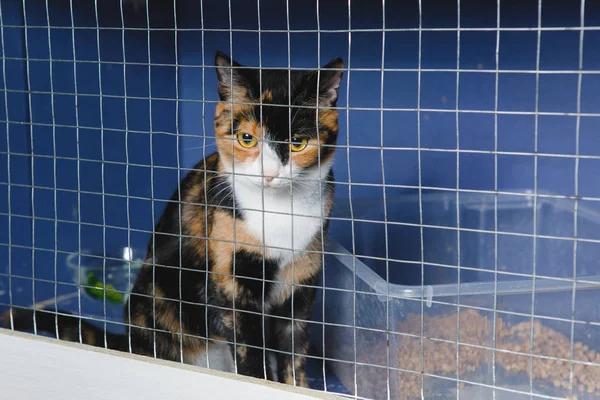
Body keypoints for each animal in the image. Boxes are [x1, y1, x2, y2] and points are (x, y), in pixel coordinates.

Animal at [2, 50, 344, 388]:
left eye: (298, 143)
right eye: (246, 138)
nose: (270, 174)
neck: (280, 211)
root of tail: (129, 340)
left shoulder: (301, 281)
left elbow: (294, 352)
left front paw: (296, 387)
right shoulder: (231, 280)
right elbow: (250, 352)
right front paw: (259, 383)